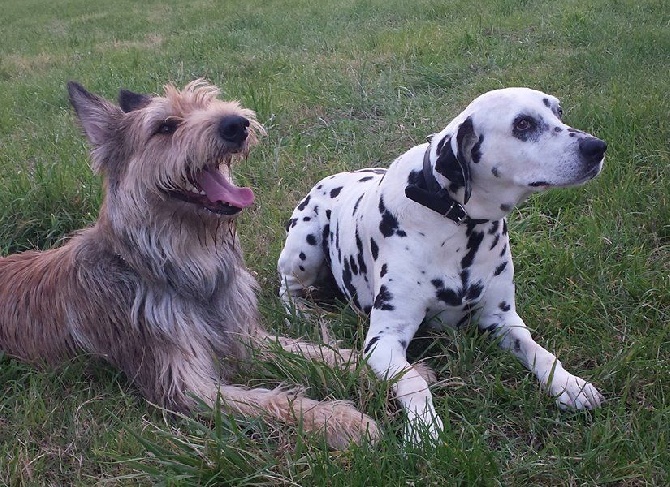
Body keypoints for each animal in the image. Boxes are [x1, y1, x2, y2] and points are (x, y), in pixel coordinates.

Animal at [0, 80, 378, 450]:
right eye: (166, 126)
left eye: (207, 104)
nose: (236, 124)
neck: (182, 269)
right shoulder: (183, 384)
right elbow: (271, 401)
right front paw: (341, 420)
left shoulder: (245, 337)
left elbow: (319, 352)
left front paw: (382, 371)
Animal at [278, 86, 608, 442]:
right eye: (522, 124)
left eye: (558, 112)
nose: (597, 147)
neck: (455, 224)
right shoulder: (383, 341)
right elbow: (413, 381)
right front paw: (424, 427)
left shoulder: (502, 318)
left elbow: (540, 352)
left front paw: (569, 384)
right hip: (304, 247)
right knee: (285, 284)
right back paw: (300, 313)